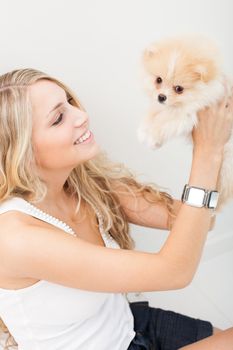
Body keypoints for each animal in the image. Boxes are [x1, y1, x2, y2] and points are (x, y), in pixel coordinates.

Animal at [137, 36, 232, 211]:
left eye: (179, 89)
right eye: (158, 80)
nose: (161, 97)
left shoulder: (188, 113)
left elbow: (165, 120)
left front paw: (152, 138)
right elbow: (155, 113)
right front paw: (144, 130)